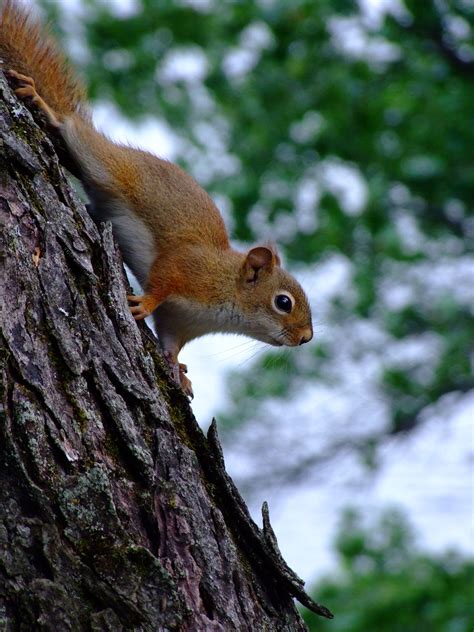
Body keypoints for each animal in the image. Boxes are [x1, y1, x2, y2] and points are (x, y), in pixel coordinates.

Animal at [0, 0, 314, 396]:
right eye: (283, 302)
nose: (306, 337)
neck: (227, 296)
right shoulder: (188, 270)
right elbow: (163, 279)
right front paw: (143, 304)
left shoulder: (179, 321)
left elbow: (171, 342)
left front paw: (178, 370)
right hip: (106, 164)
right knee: (73, 128)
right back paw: (47, 107)